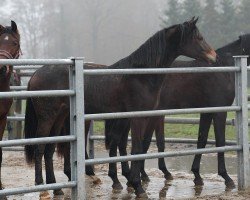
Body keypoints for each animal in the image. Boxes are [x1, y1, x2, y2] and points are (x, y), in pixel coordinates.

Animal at [24, 17, 217, 198]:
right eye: (199, 37)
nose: (213, 56)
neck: (140, 76)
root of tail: (35, 74)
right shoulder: (138, 118)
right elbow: (136, 149)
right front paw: (138, 186)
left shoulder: (132, 117)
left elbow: (128, 146)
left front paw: (129, 181)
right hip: (47, 117)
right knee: (39, 148)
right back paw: (42, 188)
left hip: (60, 116)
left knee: (49, 150)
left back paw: (56, 189)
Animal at [105, 33, 250, 190]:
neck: (222, 68)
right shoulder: (219, 111)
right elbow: (220, 142)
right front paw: (226, 177)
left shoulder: (207, 112)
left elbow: (201, 140)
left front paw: (197, 175)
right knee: (118, 140)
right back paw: (119, 179)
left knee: (121, 142)